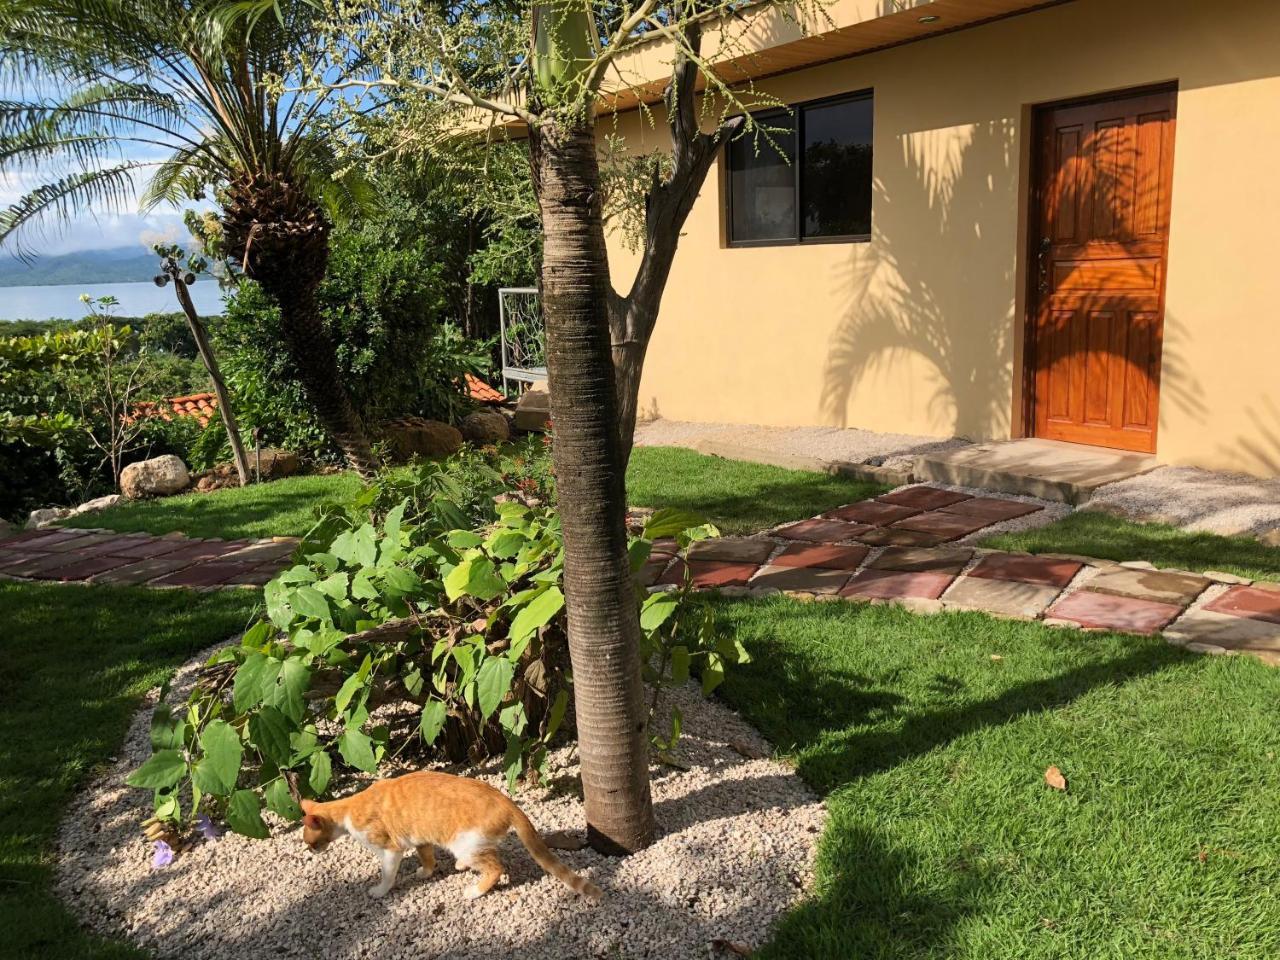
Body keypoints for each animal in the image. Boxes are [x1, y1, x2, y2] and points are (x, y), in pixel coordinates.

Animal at [299, 773, 604, 906]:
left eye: (310, 843)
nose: (311, 852)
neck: (347, 809)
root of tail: (506, 800)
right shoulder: (420, 837)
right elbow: (427, 858)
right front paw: (425, 871)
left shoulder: (389, 849)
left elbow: (387, 875)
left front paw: (380, 890)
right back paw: (461, 867)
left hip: (465, 843)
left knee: (496, 868)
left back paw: (474, 890)